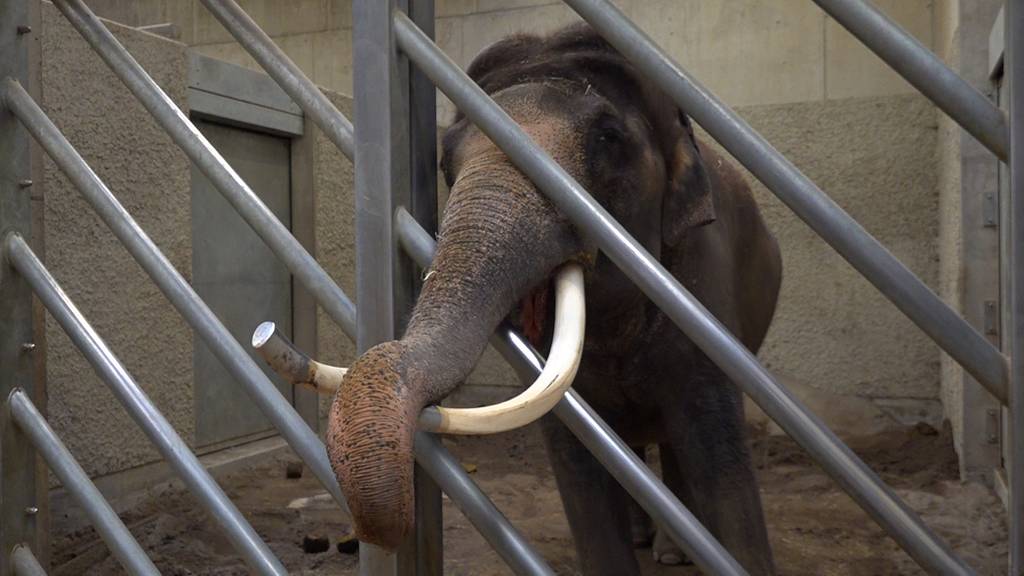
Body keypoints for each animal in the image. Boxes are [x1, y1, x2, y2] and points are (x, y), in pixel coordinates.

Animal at [327, 23, 782, 573]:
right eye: (444, 160)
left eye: (608, 138)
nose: (363, 537)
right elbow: (577, 462)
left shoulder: (703, 297)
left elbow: (718, 455)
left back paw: (672, 554)